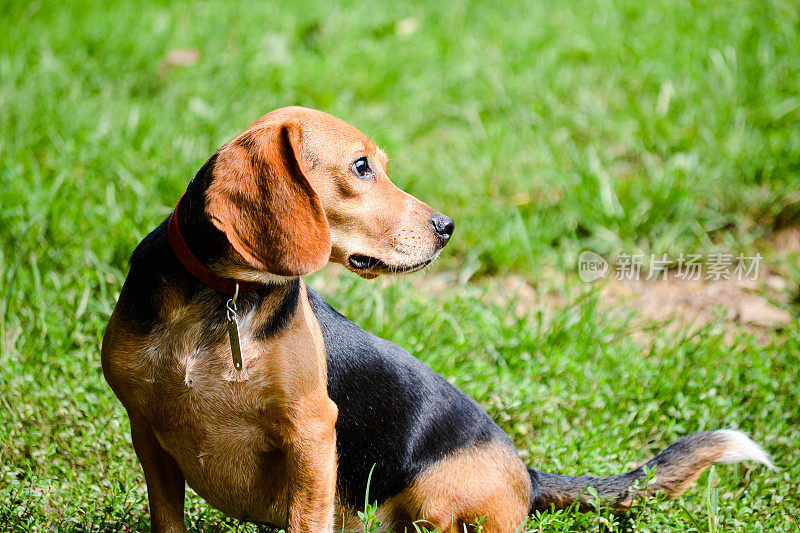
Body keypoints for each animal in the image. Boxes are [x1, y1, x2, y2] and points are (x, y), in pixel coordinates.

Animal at [101, 106, 776, 528]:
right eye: (361, 167)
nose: (447, 227)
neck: (219, 300)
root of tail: (527, 472)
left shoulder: (311, 433)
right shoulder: (147, 433)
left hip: (435, 497)